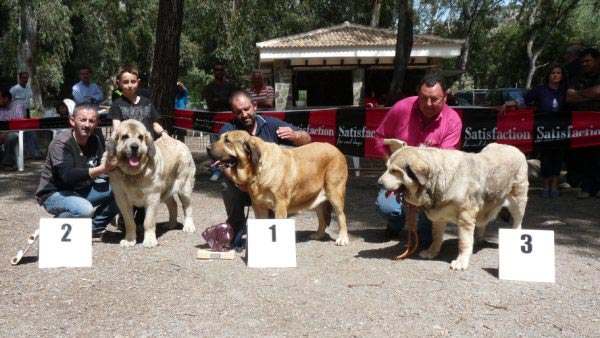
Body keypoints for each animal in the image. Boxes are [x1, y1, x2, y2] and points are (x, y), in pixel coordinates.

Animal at [209, 130, 350, 246]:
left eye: (227, 141)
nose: (207, 147)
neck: (257, 169)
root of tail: (336, 149)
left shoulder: (280, 205)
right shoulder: (258, 206)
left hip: (334, 193)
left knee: (341, 216)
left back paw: (342, 238)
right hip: (317, 199)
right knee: (322, 218)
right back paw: (318, 235)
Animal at [378, 140, 528, 270]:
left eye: (395, 171)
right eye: (387, 168)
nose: (379, 183)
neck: (439, 179)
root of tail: (514, 148)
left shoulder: (465, 217)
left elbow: (464, 243)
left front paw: (461, 261)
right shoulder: (439, 217)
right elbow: (437, 237)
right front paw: (432, 252)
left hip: (518, 202)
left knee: (518, 222)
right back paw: (478, 238)